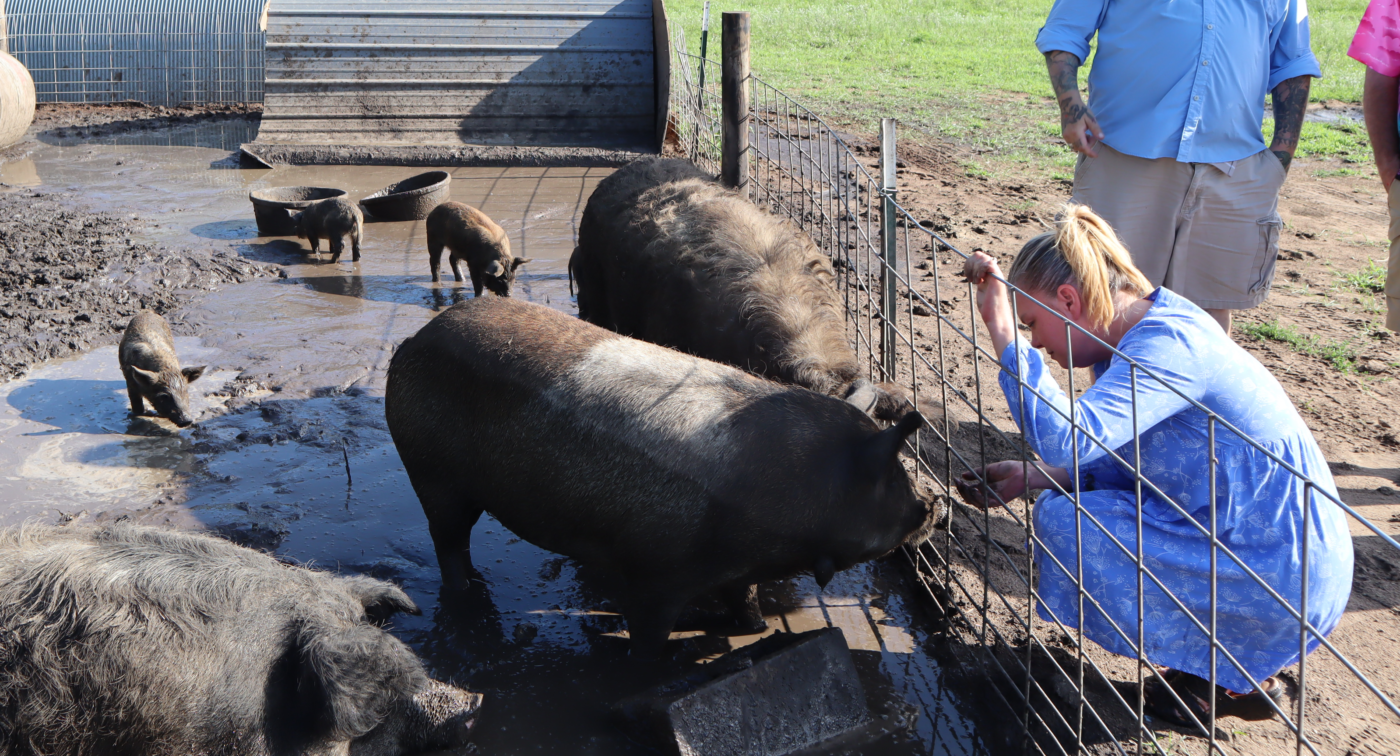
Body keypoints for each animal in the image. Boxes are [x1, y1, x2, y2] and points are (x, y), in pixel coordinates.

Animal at [383, 298, 935, 658]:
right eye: (894, 480)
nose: (932, 506)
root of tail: (413, 339)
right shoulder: (652, 571)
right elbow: (648, 635)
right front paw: (657, 662)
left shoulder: (737, 567)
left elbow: (745, 603)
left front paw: (752, 629)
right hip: (430, 471)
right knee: (447, 541)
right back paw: (463, 594)